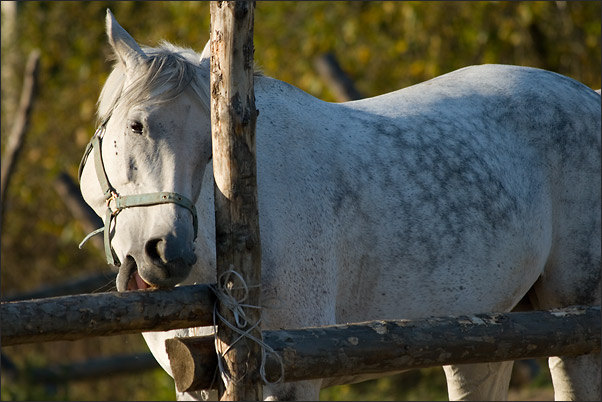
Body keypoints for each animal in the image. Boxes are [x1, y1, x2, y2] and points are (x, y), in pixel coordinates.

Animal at [77, 11, 596, 400]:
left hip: (575, 323)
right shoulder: (194, 383)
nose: (167, 252)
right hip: (484, 335)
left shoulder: (287, 376)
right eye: (137, 125)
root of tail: (590, 95)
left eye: (211, 146)